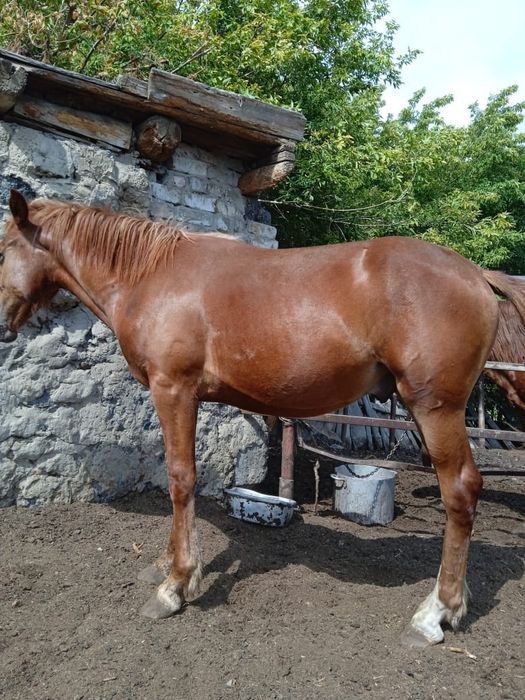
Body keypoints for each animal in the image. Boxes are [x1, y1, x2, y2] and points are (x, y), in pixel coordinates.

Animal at [2, 190, 524, 647]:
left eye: (5, 248)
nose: (2, 318)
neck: (152, 276)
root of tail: (475, 274)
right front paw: (167, 565)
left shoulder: (174, 390)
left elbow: (180, 479)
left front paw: (176, 585)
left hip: (435, 408)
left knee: (460, 490)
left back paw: (436, 612)